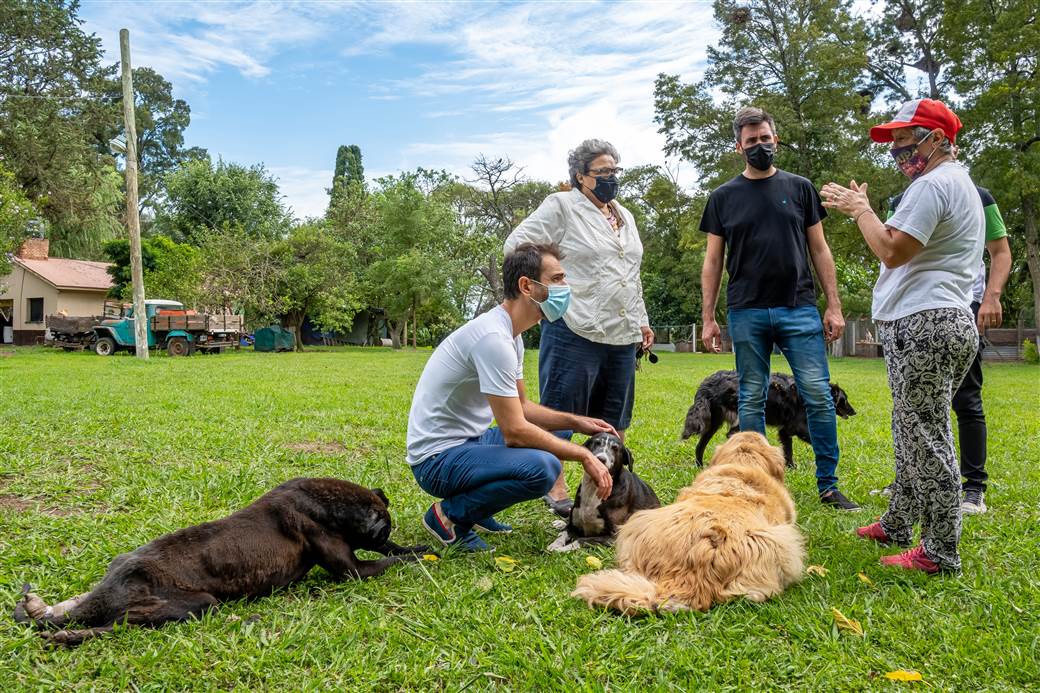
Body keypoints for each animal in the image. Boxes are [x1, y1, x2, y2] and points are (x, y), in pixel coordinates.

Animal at [13, 474, 426, 640]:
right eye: (384, 527)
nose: (386, 533)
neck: (329, 504)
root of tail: (112, 586)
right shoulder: (352, 570)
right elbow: (390, 562)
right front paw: (418, 559)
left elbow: (399, 553)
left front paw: (421, 549)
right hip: (193, 603)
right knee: (113, 626)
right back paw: (67, 637)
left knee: (68, 607)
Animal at [682, 370, 852, 466]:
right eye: (844, 400)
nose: (854, 412)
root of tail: (708, 383)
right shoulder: (798, 426)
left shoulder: (785, 430)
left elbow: (788, 450)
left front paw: (791, 467)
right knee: (731, 434)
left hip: (714, 423)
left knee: (700, 445)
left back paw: (700, 466)